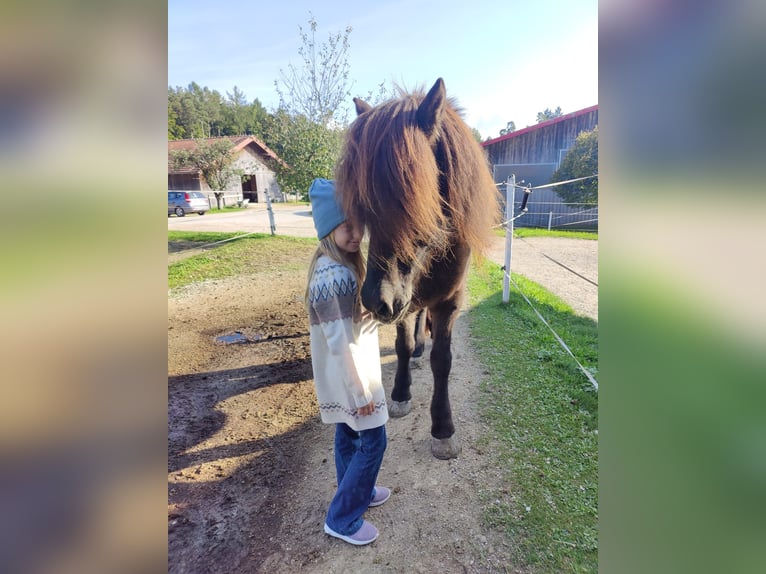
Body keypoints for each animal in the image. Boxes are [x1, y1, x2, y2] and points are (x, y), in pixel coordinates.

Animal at [335, 78, 500, 459]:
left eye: (414, 198)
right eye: (364, 204)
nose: (375, 300)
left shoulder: (449, 301)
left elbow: (443, 359)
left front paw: (442, 428)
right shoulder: (403, 300)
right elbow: (403, 345)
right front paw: (400, 394)